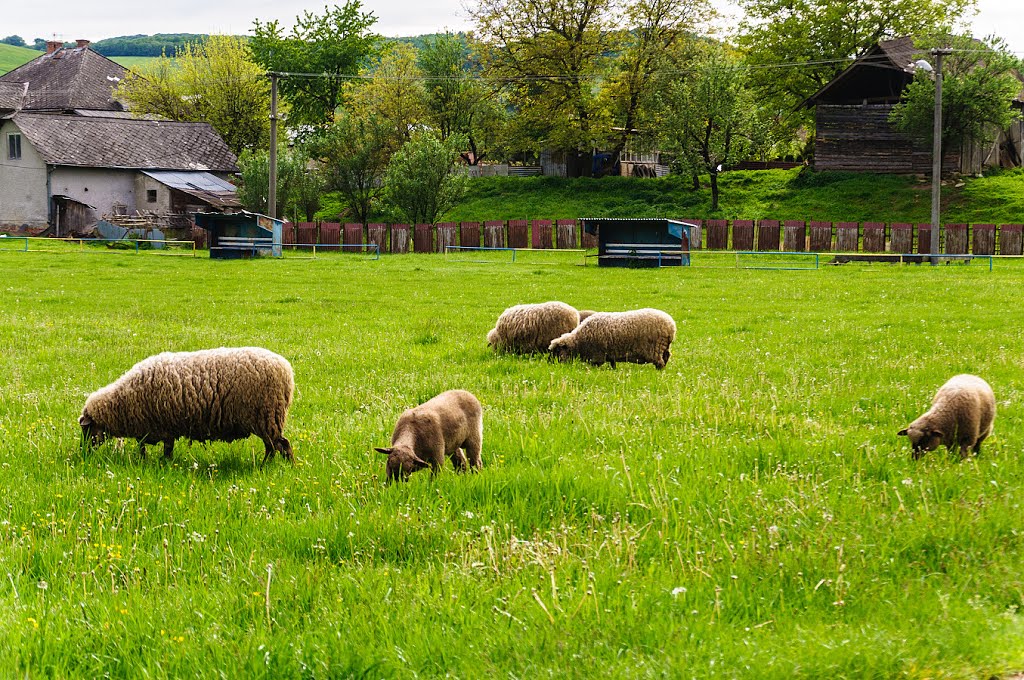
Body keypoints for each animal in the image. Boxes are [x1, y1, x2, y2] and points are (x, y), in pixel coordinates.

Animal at [77, 348, 294, 464]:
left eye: (86, 430)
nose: (83, 452)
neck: (122, 401)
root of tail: (286, 369)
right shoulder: (149, 428)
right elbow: (143, 447)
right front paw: (147, 461)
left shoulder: (164, 427)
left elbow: (166, 450)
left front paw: (164, 464)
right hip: (268, 419)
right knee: (273, 447)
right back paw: (268, 466)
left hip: (266, 417)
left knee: (281, 445)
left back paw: (281, 467)